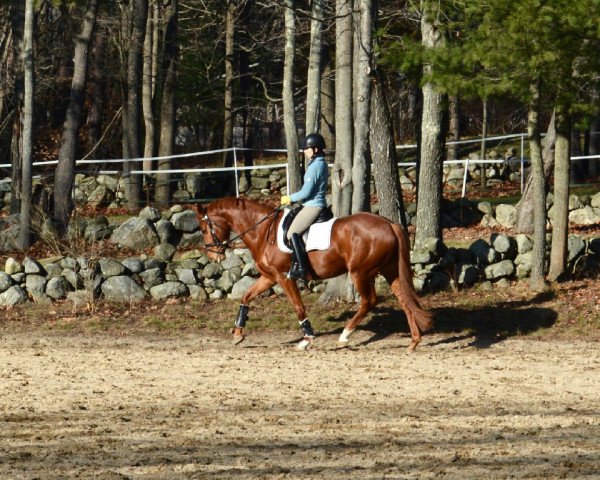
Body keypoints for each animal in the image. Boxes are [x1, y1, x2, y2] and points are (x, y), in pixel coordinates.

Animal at [197, 197, 432, 350]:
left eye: (204, 229)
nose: (214, 257)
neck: (263, 232)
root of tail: (389, 224)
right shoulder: (269, 277)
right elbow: (246, 297)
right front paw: (238, 334)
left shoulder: (284, 278)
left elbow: (298, 307)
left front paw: (307, 338)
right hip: (389, 270)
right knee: (404, 300)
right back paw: (414, 341)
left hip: (360, 273)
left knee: (369, 301)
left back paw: (345, 335)